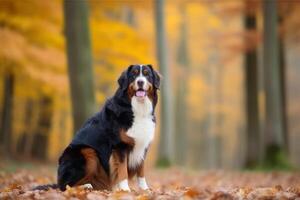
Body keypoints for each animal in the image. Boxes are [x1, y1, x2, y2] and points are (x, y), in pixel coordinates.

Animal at [34, 64, 161, 192]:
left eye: (147, 74)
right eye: (133, 75)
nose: (140, 82)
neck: (137, 109)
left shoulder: (142, 146)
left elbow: (141, 171)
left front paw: (145, 189)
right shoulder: (119, 146)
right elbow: (122, 169)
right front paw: (125, 189)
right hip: (88, 152)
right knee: (65, 186)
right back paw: (85, 186)